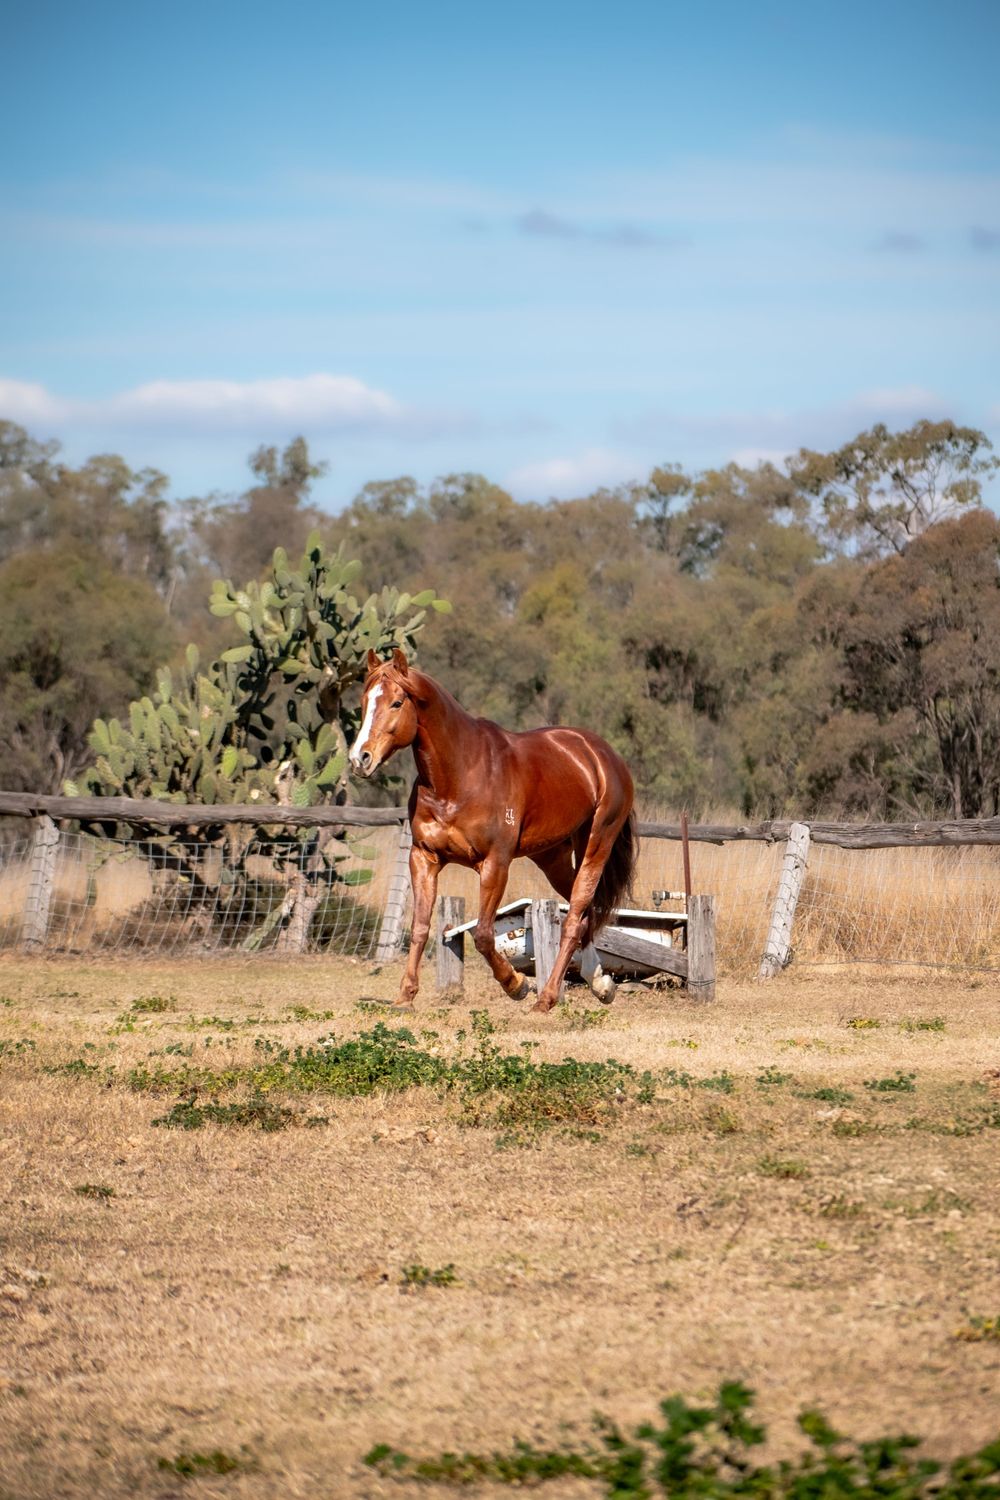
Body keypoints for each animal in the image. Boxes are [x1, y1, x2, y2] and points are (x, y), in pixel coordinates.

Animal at [348, 649, 636, 1013]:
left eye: (397, 703)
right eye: (363, 701)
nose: (359, 759)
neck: (460, 776)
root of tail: (603, 756)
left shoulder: (495, 863)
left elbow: (484, 935)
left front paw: (516, 984)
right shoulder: (424, 858)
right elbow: (420, 926)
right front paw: (405, 996)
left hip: (596, 845)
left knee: (574, 919)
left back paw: (546, 998)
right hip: (553, 857)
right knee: (583, 913)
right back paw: (600, 983)